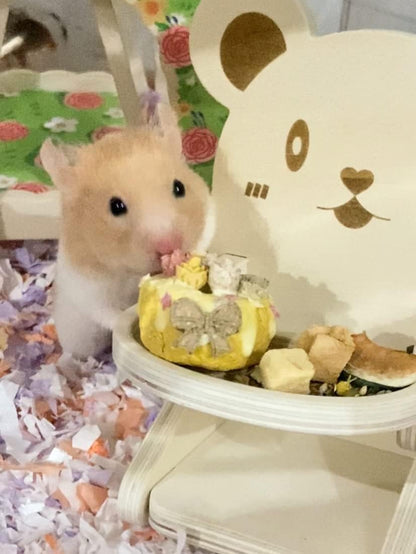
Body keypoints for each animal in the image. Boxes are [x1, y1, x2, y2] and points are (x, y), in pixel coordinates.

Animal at [39, 102, 216, 358]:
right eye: (116, 206)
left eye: (179, 187)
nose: (168, 246)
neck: (132, 271)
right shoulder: (88, 287)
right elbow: (110, 314)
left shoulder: (209, 220)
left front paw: (179, 261)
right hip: (79, 337)